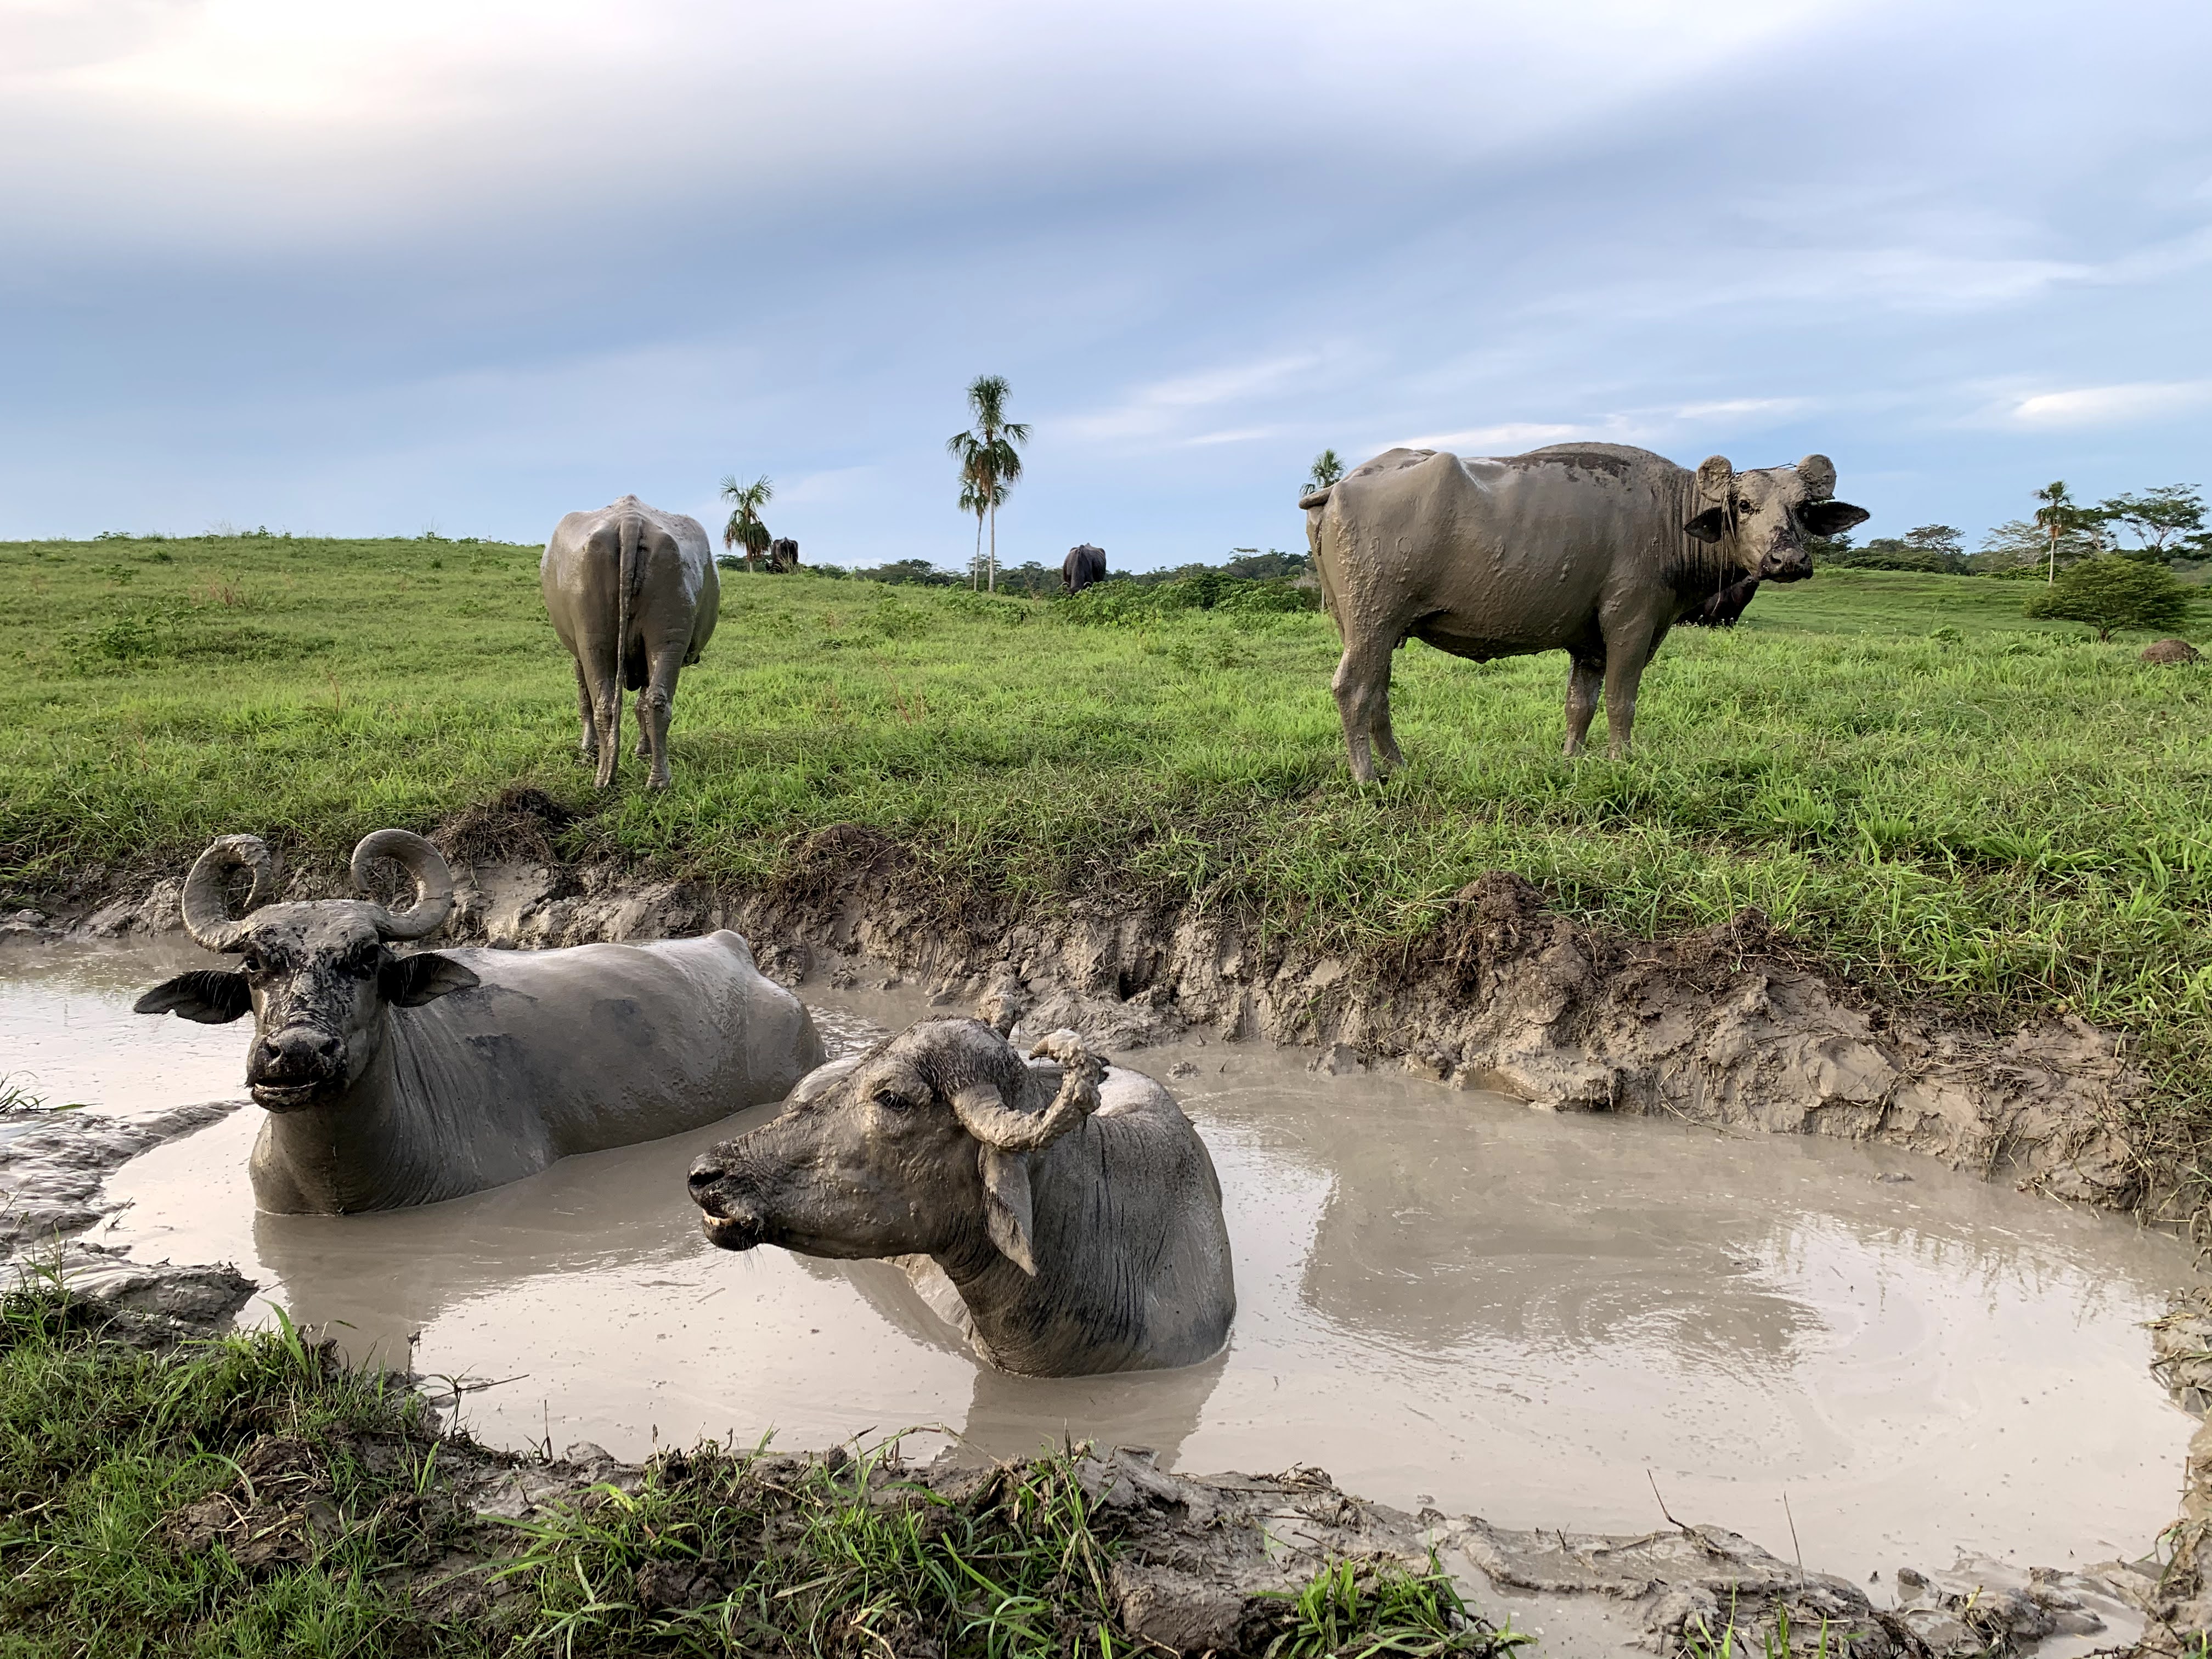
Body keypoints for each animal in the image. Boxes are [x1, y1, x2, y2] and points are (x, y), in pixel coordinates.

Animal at [541, 493, 721, 792]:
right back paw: (652, 780)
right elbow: (641, 705)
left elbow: (584, 699)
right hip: (665, 635)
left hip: (593, 638)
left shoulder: (577, 654)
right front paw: (642, 751)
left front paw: (589, 749)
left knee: (603, 702)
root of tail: (630, 520)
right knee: (654, 702)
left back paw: (606, 775)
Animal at [1300, 442, 1858, 778]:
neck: (1667, 517)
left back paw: (1398, 765)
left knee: (1378, 693)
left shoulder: (1588, 642)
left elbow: (1580, 704)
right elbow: (1619, 700)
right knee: (1353, 689)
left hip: (1369, 627)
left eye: (1802, 510)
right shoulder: (1631, 623)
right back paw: (1367, 776)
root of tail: (1343, 484)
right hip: (1373, 620)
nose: (1788, 559)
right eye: (1743, 505)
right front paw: (1621, 760)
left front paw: (1572, 760)